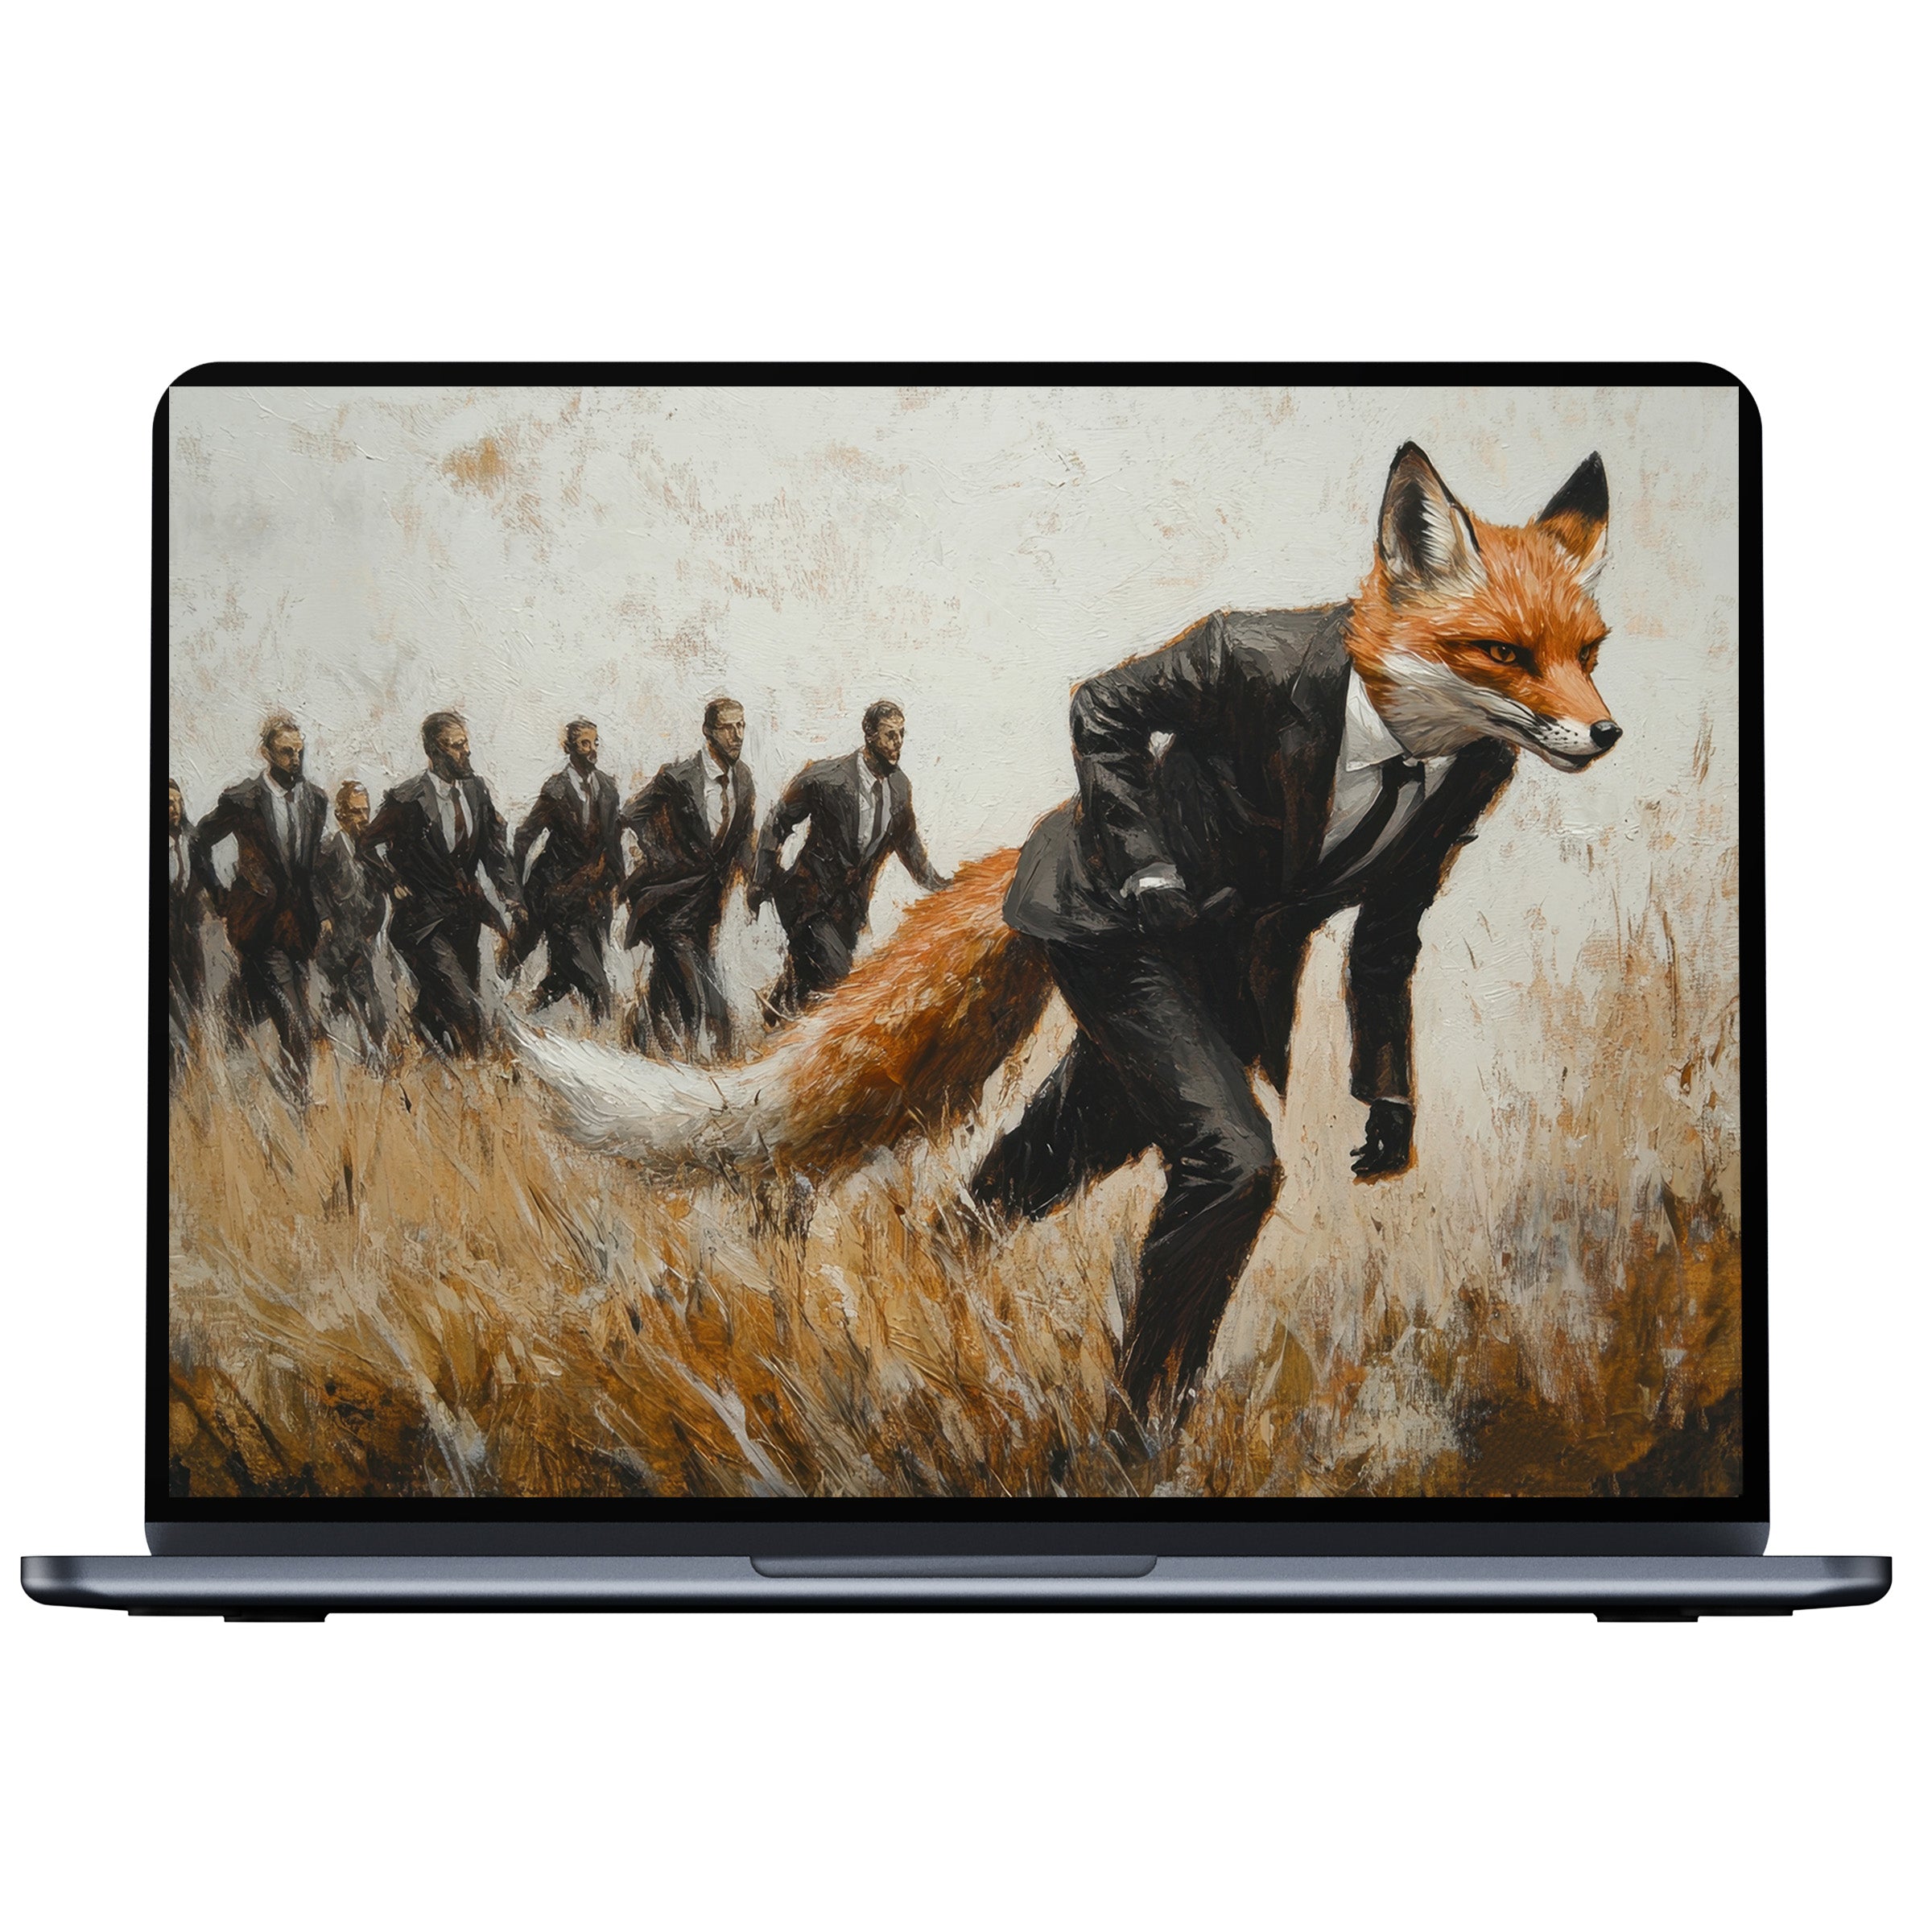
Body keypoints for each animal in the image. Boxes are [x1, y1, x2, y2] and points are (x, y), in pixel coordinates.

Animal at [515, 443, 1617, 1231]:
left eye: (1590, 652)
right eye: (1503, 652)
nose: (1607, 734)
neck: (1390, 740)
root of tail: (1031, 855)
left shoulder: (1450, 814)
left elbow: (1385, 957)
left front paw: (1389, 1123)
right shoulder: (1234, 660)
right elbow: (1106, 703)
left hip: (1132, 1072)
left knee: (1007, 1183)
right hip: (1135, 1010)